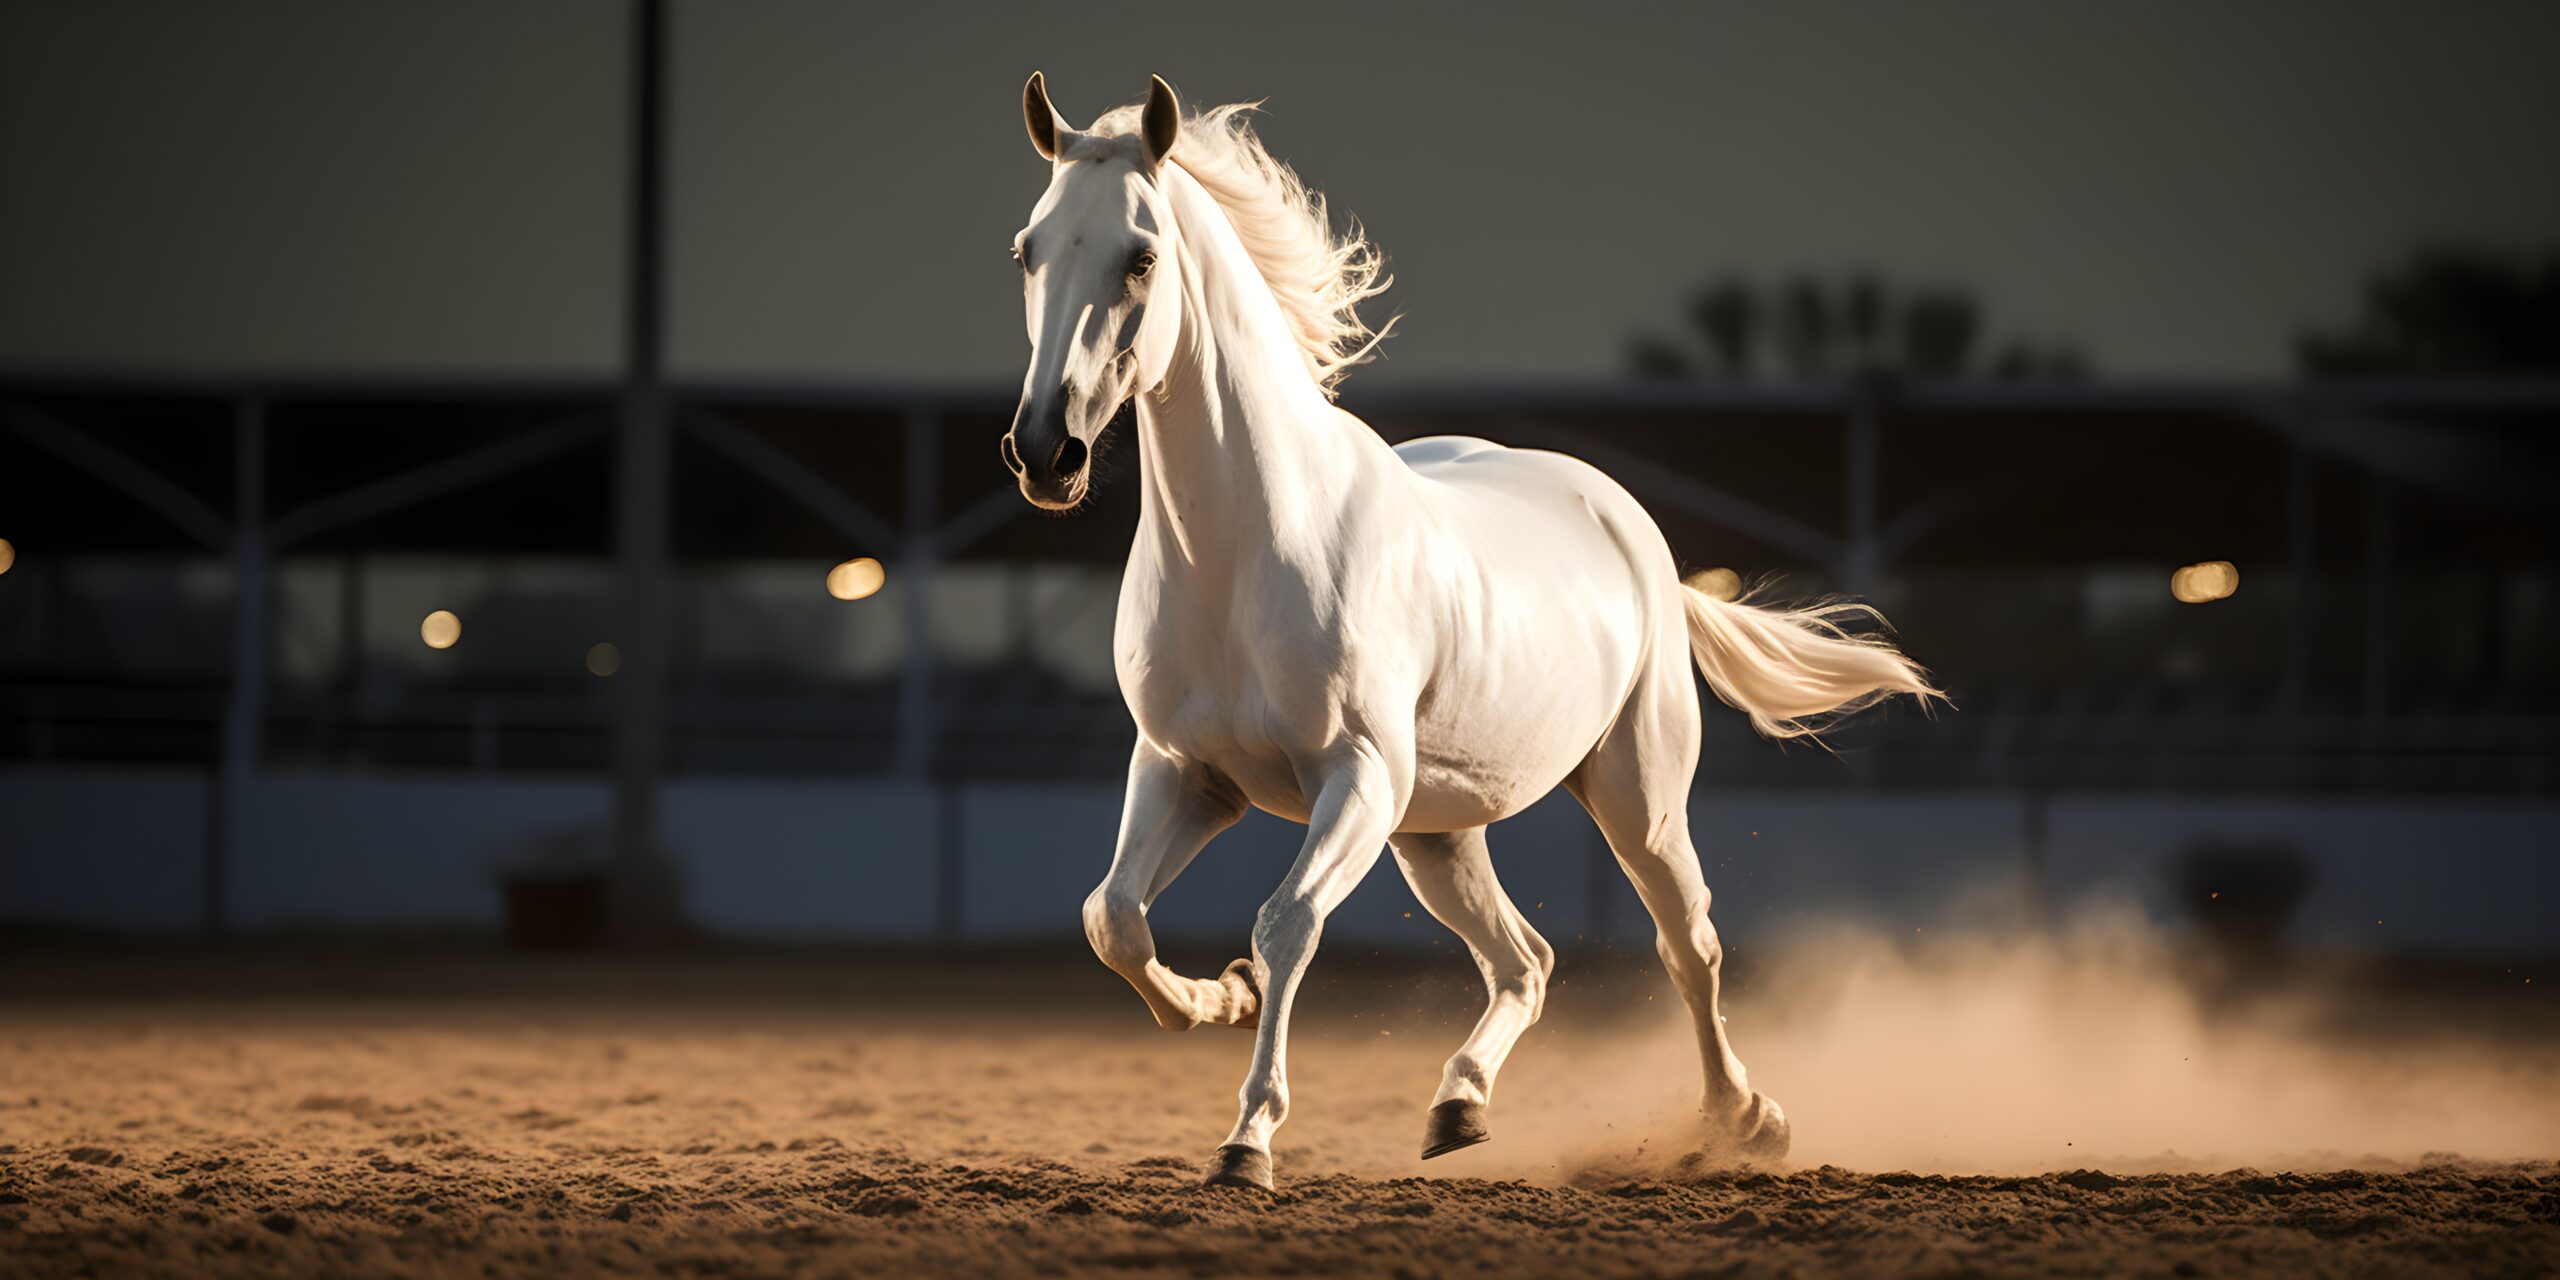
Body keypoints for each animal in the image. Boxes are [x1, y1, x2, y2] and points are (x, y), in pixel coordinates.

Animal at [1001, 72, 1938, 1191]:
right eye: (1028, 249)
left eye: (1141, 256)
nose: (1045, 453)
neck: (1251, 546)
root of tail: (1630, 527)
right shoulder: (1187, 771)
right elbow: (1113, 918)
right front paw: (1218, 997)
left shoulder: (1355, 777)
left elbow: (1285, 924)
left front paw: (1247, 1141)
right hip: (1436, 833)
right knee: (1524, 960)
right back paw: (1458, 1105)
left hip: (1633, 797)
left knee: (1688, 945)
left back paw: (1744, 1118)